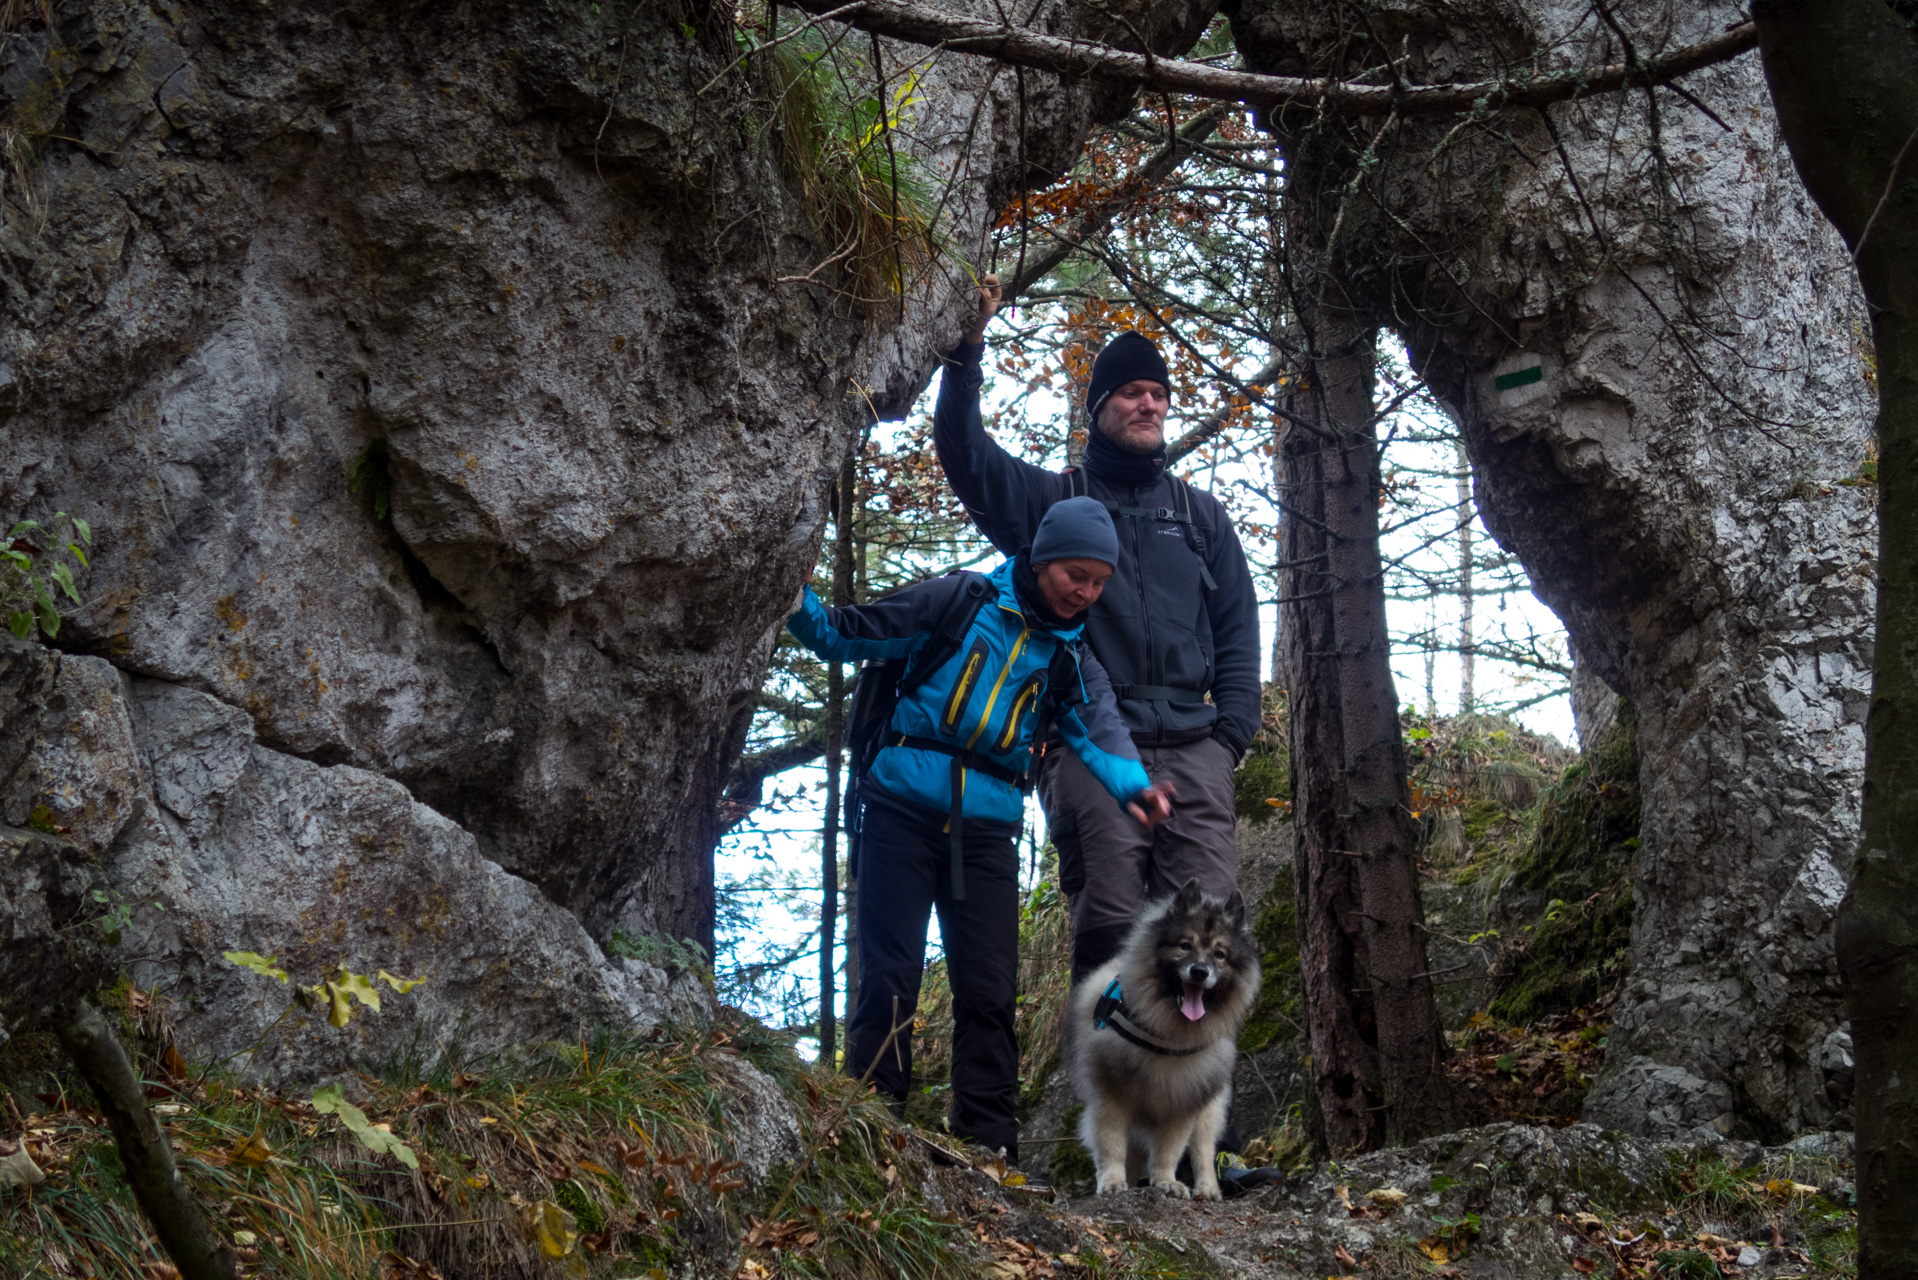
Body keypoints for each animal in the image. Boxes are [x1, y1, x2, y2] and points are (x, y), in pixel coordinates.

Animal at [1066, 882, 1258, 1205]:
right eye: (1185, 946)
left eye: (1219, 954)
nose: (1199, 972)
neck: (1168, 1033)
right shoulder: (1112, 1095)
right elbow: (1112, 1145)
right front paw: (1113, 1181)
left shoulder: (1183, 1103)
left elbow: (1169, 1150)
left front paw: (1166, 1182)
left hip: (1209, 1110)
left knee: (1203, 1149)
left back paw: (1208, 1188)